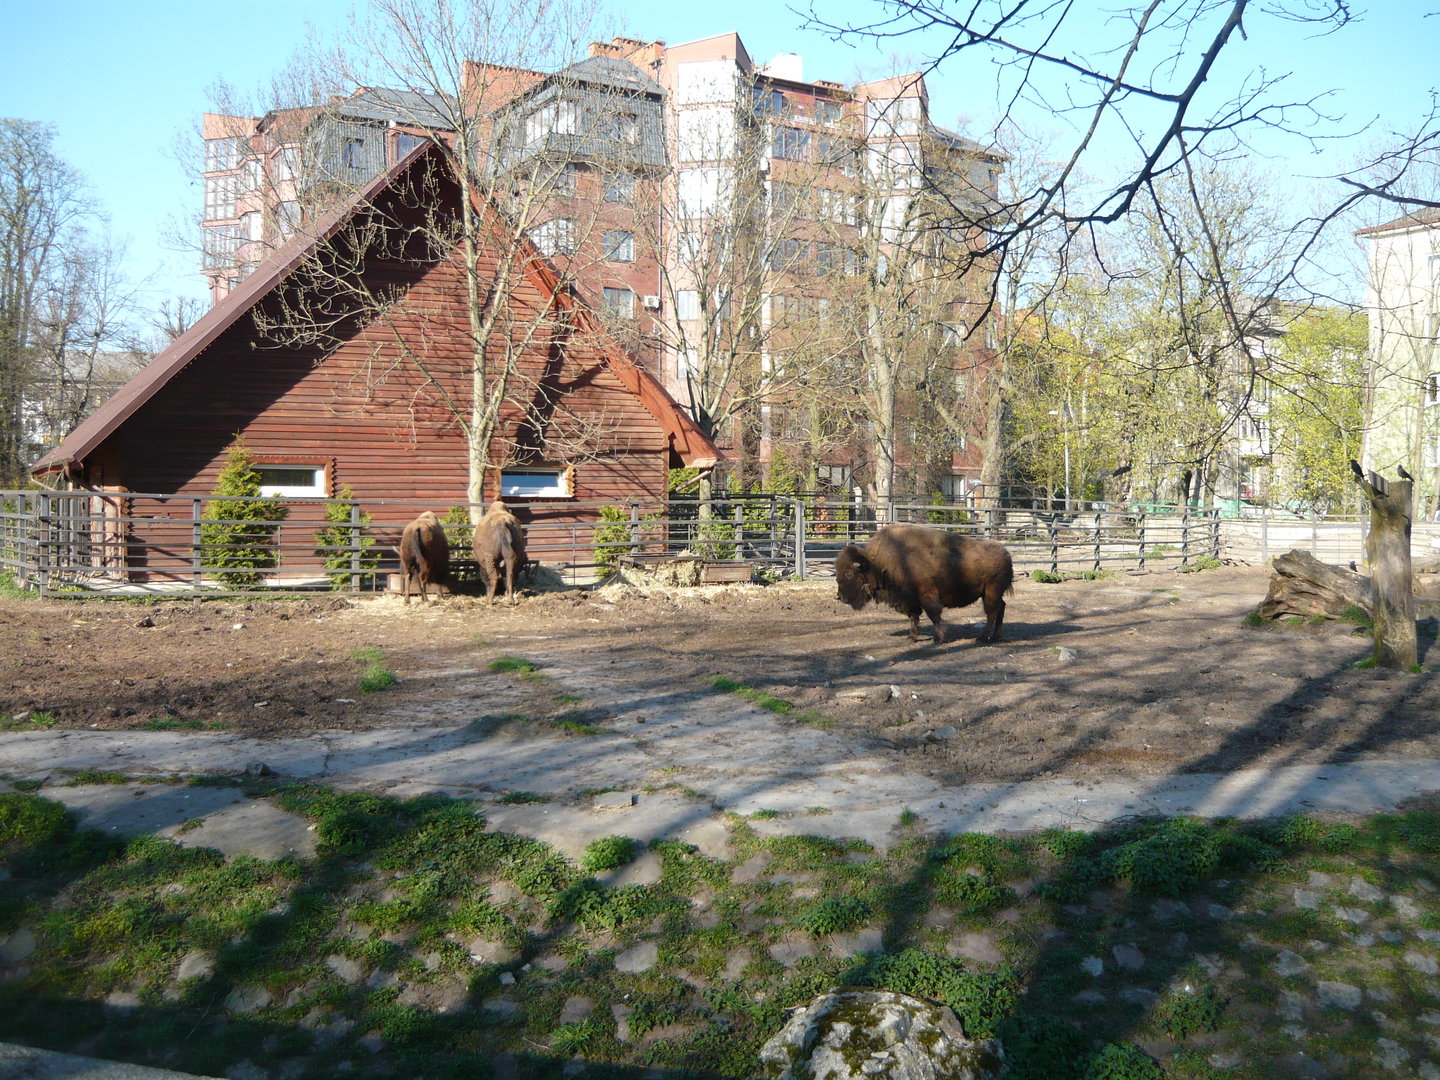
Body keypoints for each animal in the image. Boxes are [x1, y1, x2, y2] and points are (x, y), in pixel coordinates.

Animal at [835, 524, 1013, 645]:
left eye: (849, 573)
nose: (840, 597)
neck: (877, 564)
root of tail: (1005, 553)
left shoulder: (927, 595)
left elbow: (934, 615)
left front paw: (938, 638)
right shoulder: (909, 599)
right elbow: (913, 616)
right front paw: (912, 637)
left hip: (991, 592)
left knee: (991, 612)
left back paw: (982, 638)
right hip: (991, 594)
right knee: (1001, 608)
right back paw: (996, 636)